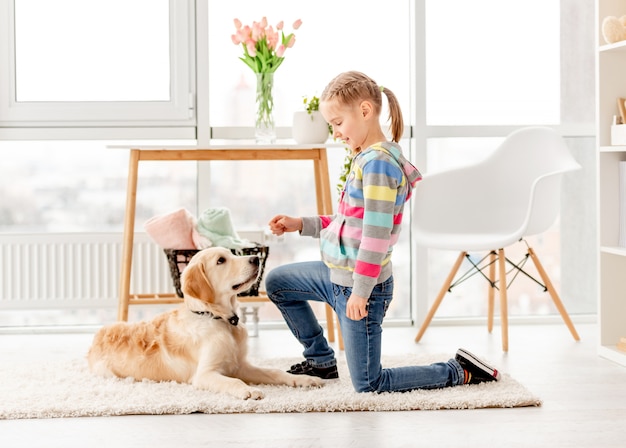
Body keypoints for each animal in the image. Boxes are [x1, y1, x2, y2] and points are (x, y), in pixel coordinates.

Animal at [88, 248, 322, 400]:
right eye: (221, 260)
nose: (256, 258)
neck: (218, 318)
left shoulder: (241, 365)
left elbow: (275, 372)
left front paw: (304, 380)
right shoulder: (205, 374)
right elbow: (233, 381)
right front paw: (248, 390)